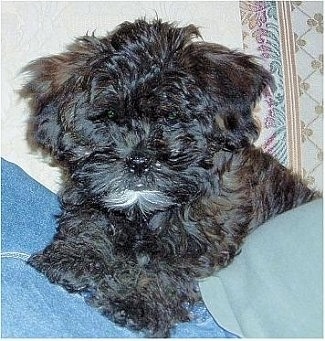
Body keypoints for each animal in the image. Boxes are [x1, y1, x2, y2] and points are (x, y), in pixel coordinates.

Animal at [20, 19, 316, 338]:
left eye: (171, 118)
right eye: (108, 117)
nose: (138, 160)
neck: (145, 212)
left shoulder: (204, 237)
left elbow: (165, 266)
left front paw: (136, 300)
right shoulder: (88, 188)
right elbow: (88, 222)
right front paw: (72, 257)